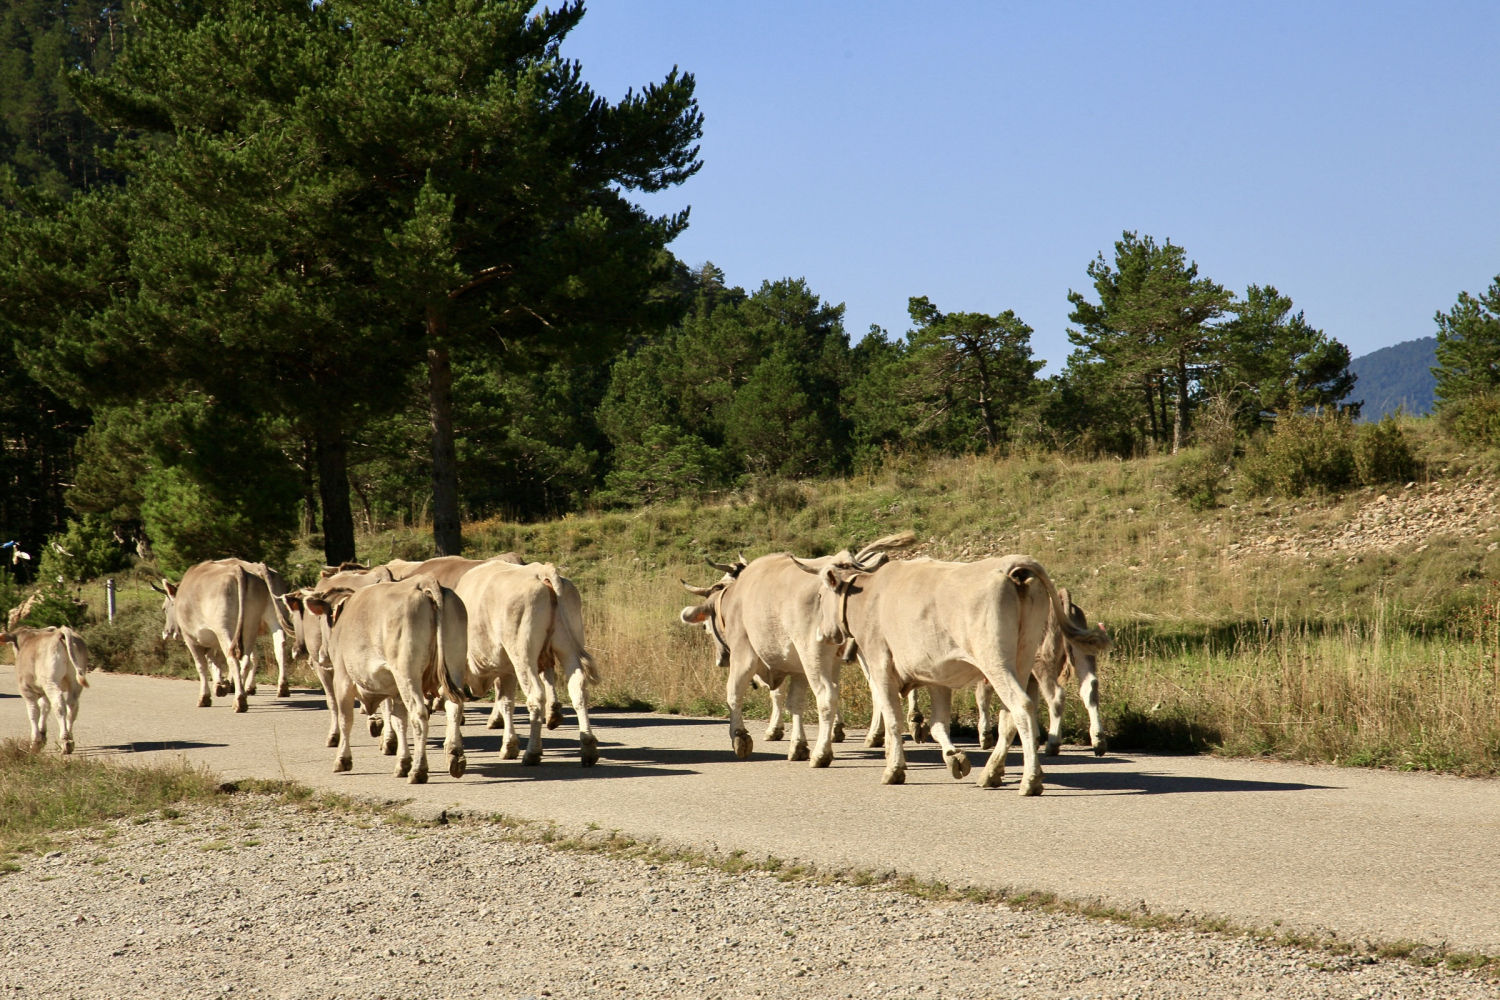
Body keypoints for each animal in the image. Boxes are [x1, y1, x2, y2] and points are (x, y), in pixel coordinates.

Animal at [152, 558, 297, 711]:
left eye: (164, 608)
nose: (166, 632)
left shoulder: (192, 639)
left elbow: (203, 665)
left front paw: (207, 695)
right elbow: (215, 661)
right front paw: (221, 684)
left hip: (224, 628)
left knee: (233, 656)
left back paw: (239, 697)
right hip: (256, 623)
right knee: (269, 649)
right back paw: (278, 688)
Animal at [301, 574, 470, 783]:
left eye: (321, 618)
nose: (322, 655)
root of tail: (423, 582)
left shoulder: (342, 678)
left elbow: (345, 719)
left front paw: (342, 759)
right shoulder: (395, 691)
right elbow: (399, 721)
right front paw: (402, 762)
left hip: (406, 673)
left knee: (419, 715)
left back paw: (419, 770)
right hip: (454, 665)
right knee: (454, 708)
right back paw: (455, 757)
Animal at [449, 559, 599, 768]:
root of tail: (540, 570)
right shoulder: (506, 669)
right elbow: (506, 703)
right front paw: (509, 746)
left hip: (523, 655)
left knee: (536, 697)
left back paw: (532, 752)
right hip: (567, 649)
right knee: (578, 690)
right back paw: (588, 748)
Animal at [678, 532, 915, 768]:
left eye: (705, 626)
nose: (721, 660)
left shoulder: (745, 651)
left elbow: (735, 693)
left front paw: (741, 737)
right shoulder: (799, 666)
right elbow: (795, 703)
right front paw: (799, 745)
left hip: (814, 652)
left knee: (828, 695)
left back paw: (823, 753)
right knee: (881, 689)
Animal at [797, 553, 1111, 794]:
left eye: (820, 595)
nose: (822, 634)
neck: (866, 594)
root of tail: (1012, 565)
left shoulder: (880, 664)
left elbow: (893, 720)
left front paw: (894, 769)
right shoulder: (937, 675)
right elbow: (938, 725)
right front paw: (954, 759)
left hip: (997, 660)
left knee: (1022, 706)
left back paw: (1030, 780)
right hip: (1022, 659)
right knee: (1011, 715)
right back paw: (991, 773)